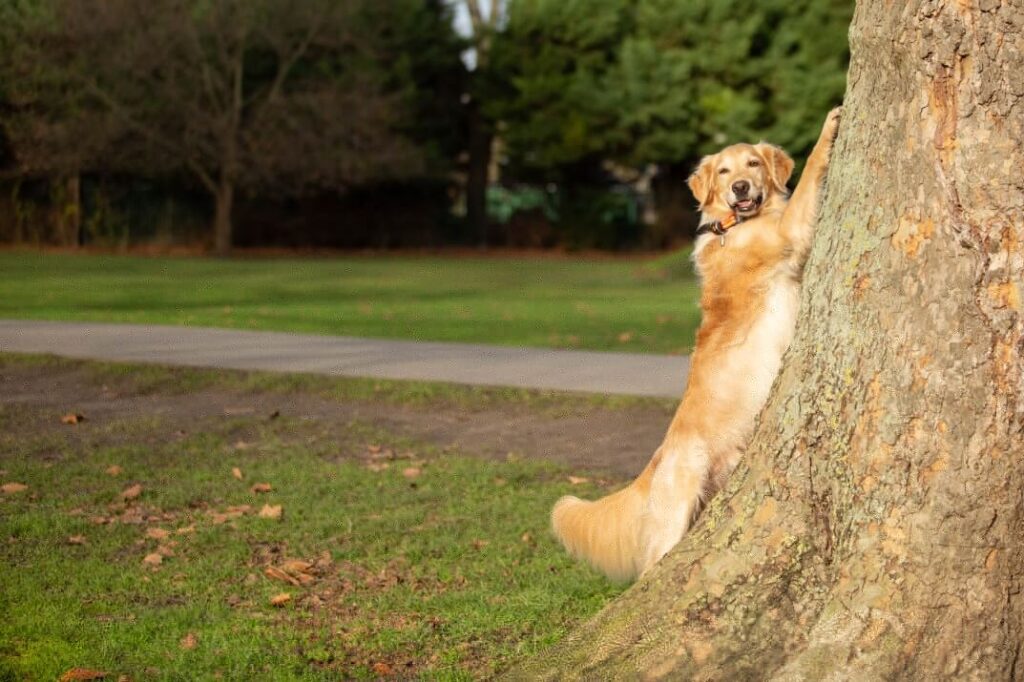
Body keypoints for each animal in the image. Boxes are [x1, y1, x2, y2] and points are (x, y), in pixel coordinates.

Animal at [552, 107, 839, 577]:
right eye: (724, 171)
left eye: (752, 164)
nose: (740, 187)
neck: (734, 225)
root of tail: (657, 458)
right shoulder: (788, 235)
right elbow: (810, 172)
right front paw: (829, 126)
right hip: (677, 511)